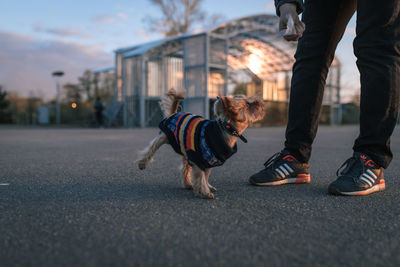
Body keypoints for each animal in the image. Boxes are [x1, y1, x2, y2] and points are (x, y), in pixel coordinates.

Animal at [138, 89, 266, 200]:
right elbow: (200, 176)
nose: (260, 101)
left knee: (185, 169)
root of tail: (174, 114)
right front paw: (204, 192)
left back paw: (188, 184)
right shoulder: (198, 159)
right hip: (163, 137)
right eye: (248, 104)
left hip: (186, 149)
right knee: (150, 149)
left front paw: (207, 187)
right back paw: (142, 163)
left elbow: (206, 175)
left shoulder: (209, 160)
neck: (227, 130)